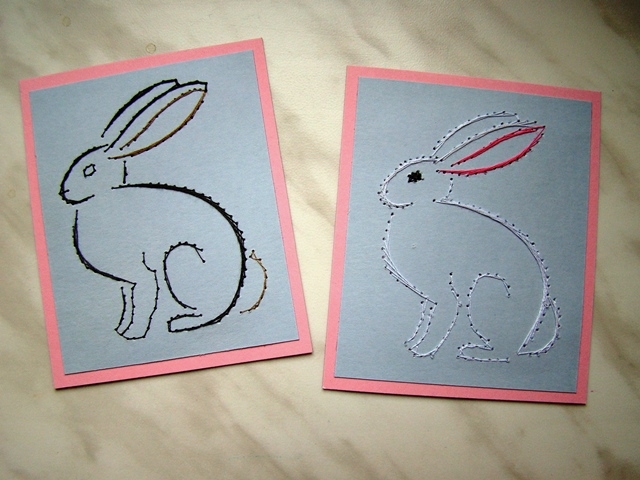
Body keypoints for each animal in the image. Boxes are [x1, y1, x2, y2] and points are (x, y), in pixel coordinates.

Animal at [59, 79, 267, 340]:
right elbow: (128, 303)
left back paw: (179, 323)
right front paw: (121, 330)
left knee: (207, 313)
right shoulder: (125, 283)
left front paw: (134, 334)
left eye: (89, 170)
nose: (64, 192)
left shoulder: (142, 275)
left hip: (179, 260)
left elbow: (145, 301)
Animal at [378, 111, 560, 362]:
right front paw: (412, 344)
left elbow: (442, 317)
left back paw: (471, 351)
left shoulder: (442, 293)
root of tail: (526, 341)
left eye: (414, 177)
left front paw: (423, 351)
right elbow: (426, 319)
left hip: (485, 289)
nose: (385, 191)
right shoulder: (428, 300)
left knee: (505, 352)